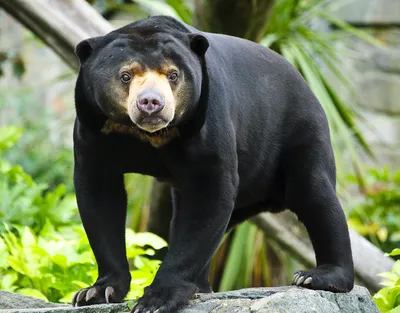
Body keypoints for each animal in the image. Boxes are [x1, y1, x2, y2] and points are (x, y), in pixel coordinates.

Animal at [71, 14, 354, 312]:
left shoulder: (208, 120)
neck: (149, 135)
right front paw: (95, 291)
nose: (151, 103)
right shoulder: (92, 128)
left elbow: (209, 195)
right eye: (125, 75)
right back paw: (203, 287)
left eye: (173, 75)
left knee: (316, 196)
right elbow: (101, 198)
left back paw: (318, 276)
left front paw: (156, 300)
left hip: (302, 132)